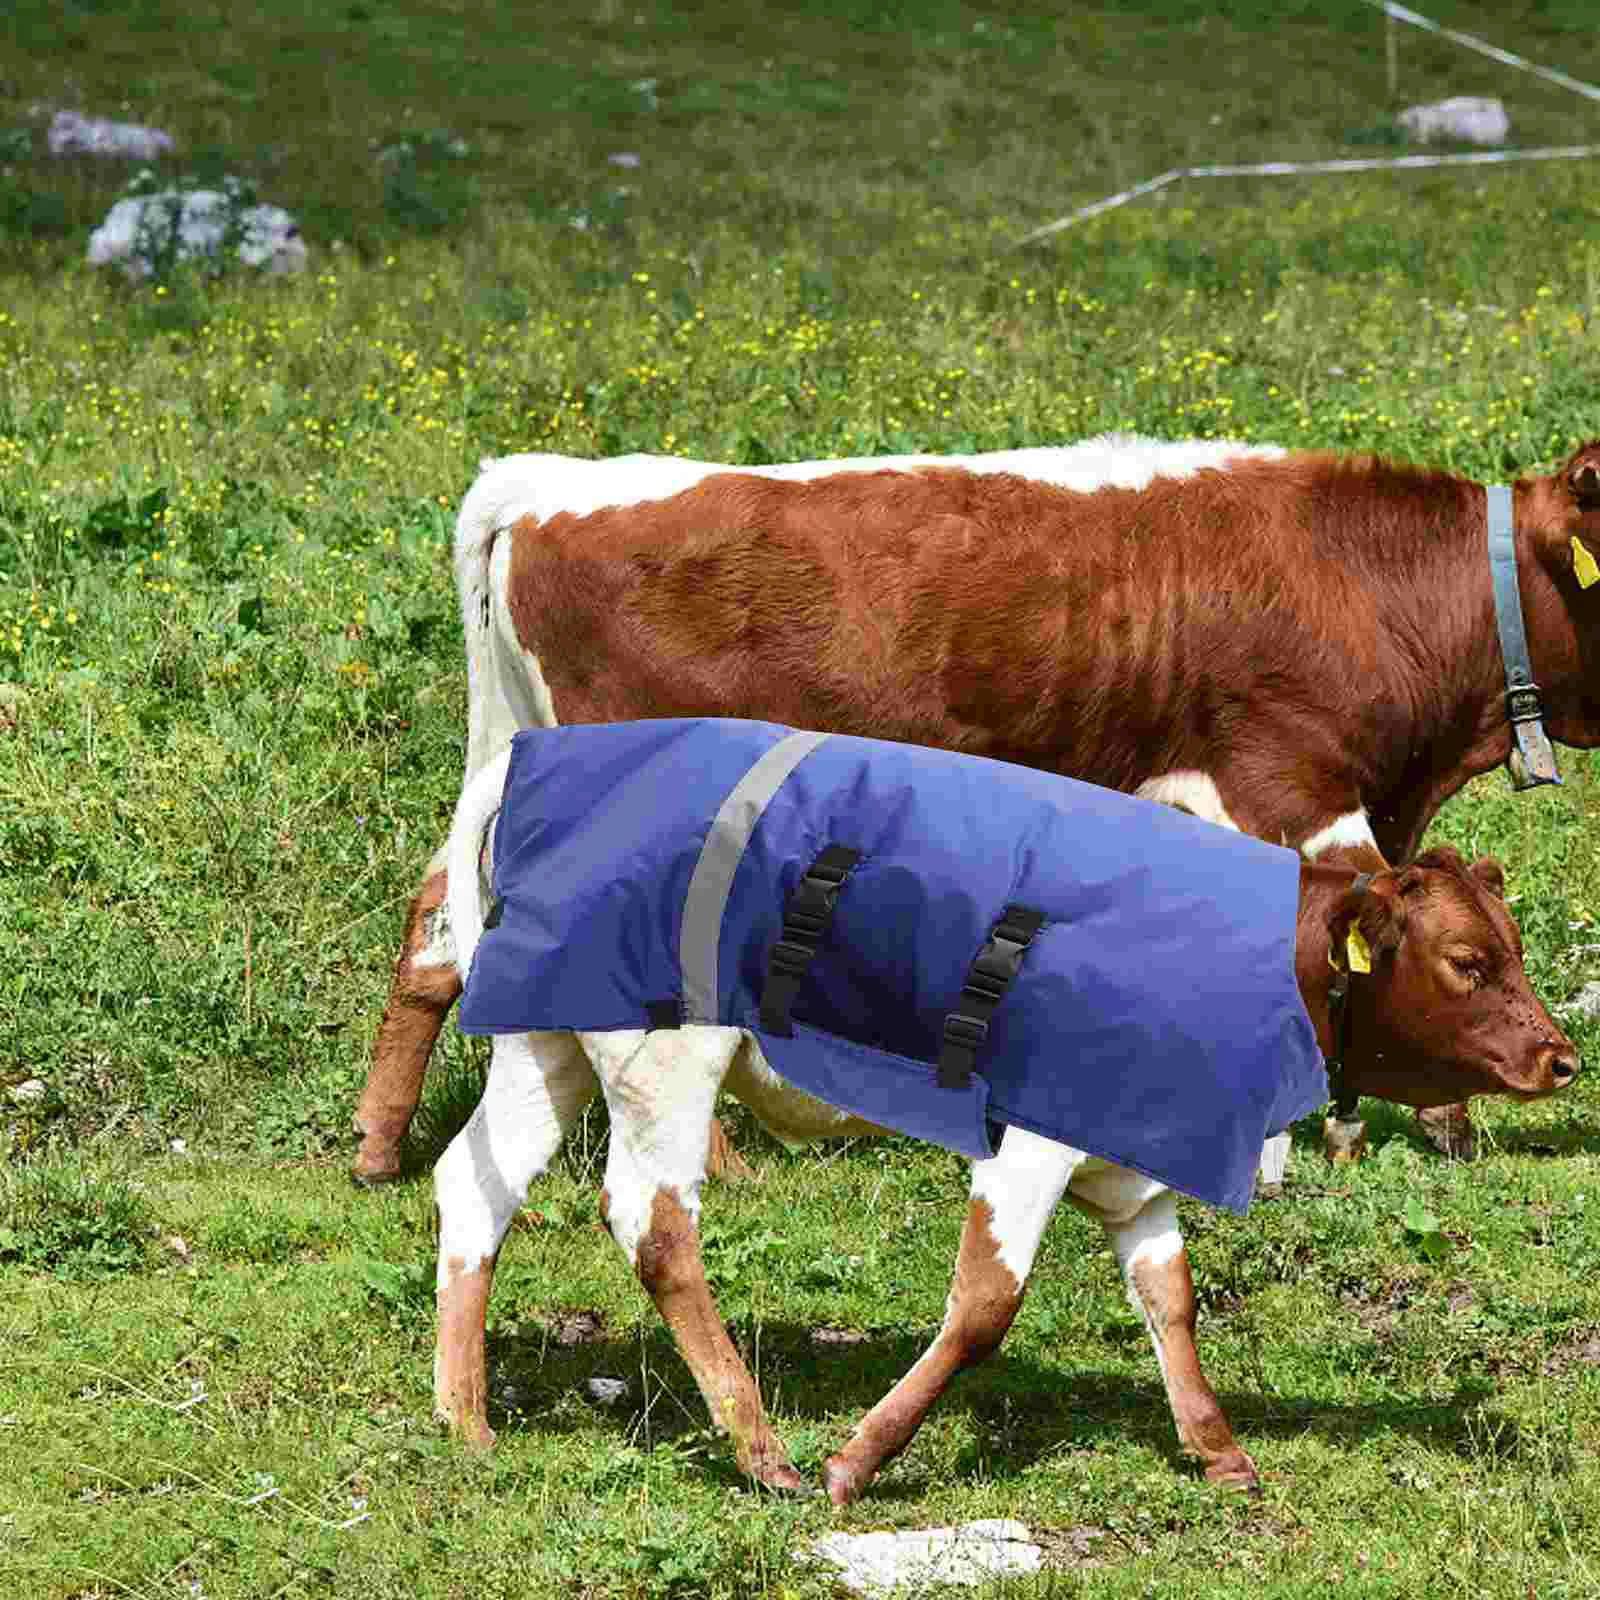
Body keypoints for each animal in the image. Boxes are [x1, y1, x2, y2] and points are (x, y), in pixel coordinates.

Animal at [431, 742, 1578, 1500]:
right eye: (1468, 961)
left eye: (1514, 945)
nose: (1560, 1057)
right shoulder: (1034, 1140)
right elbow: (986, 1305)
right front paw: (858, 1460)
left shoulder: (1140, 1154)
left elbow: (1171, 1299)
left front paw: (1216, 1447)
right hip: (660, 1056)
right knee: (654, 1223)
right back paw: (762, 1448)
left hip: (548, 1041)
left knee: (473, 1187)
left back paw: (466, 1421)